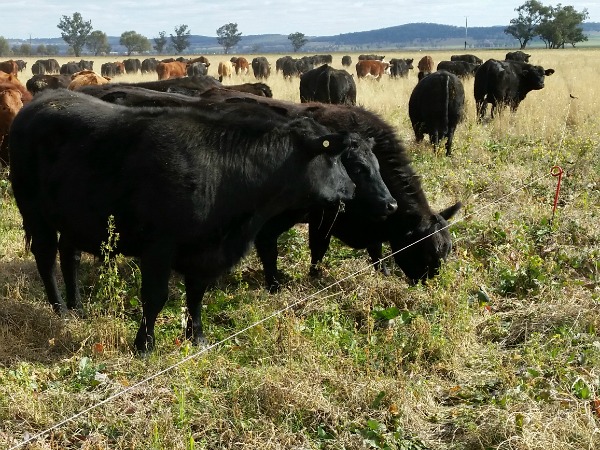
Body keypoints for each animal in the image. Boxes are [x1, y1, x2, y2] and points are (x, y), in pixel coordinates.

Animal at [9, 88, 358, 352]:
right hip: (33, 211)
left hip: (73, 217)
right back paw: (58, 308)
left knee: (70, 257)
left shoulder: (204, 251)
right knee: (46, 257)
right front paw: (144, 344)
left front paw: (197, 337)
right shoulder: (159, 247)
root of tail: (42, 100)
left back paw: (77, 306)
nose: (352, 189)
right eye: (333, 157)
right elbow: (155, 297)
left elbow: (196, 295)